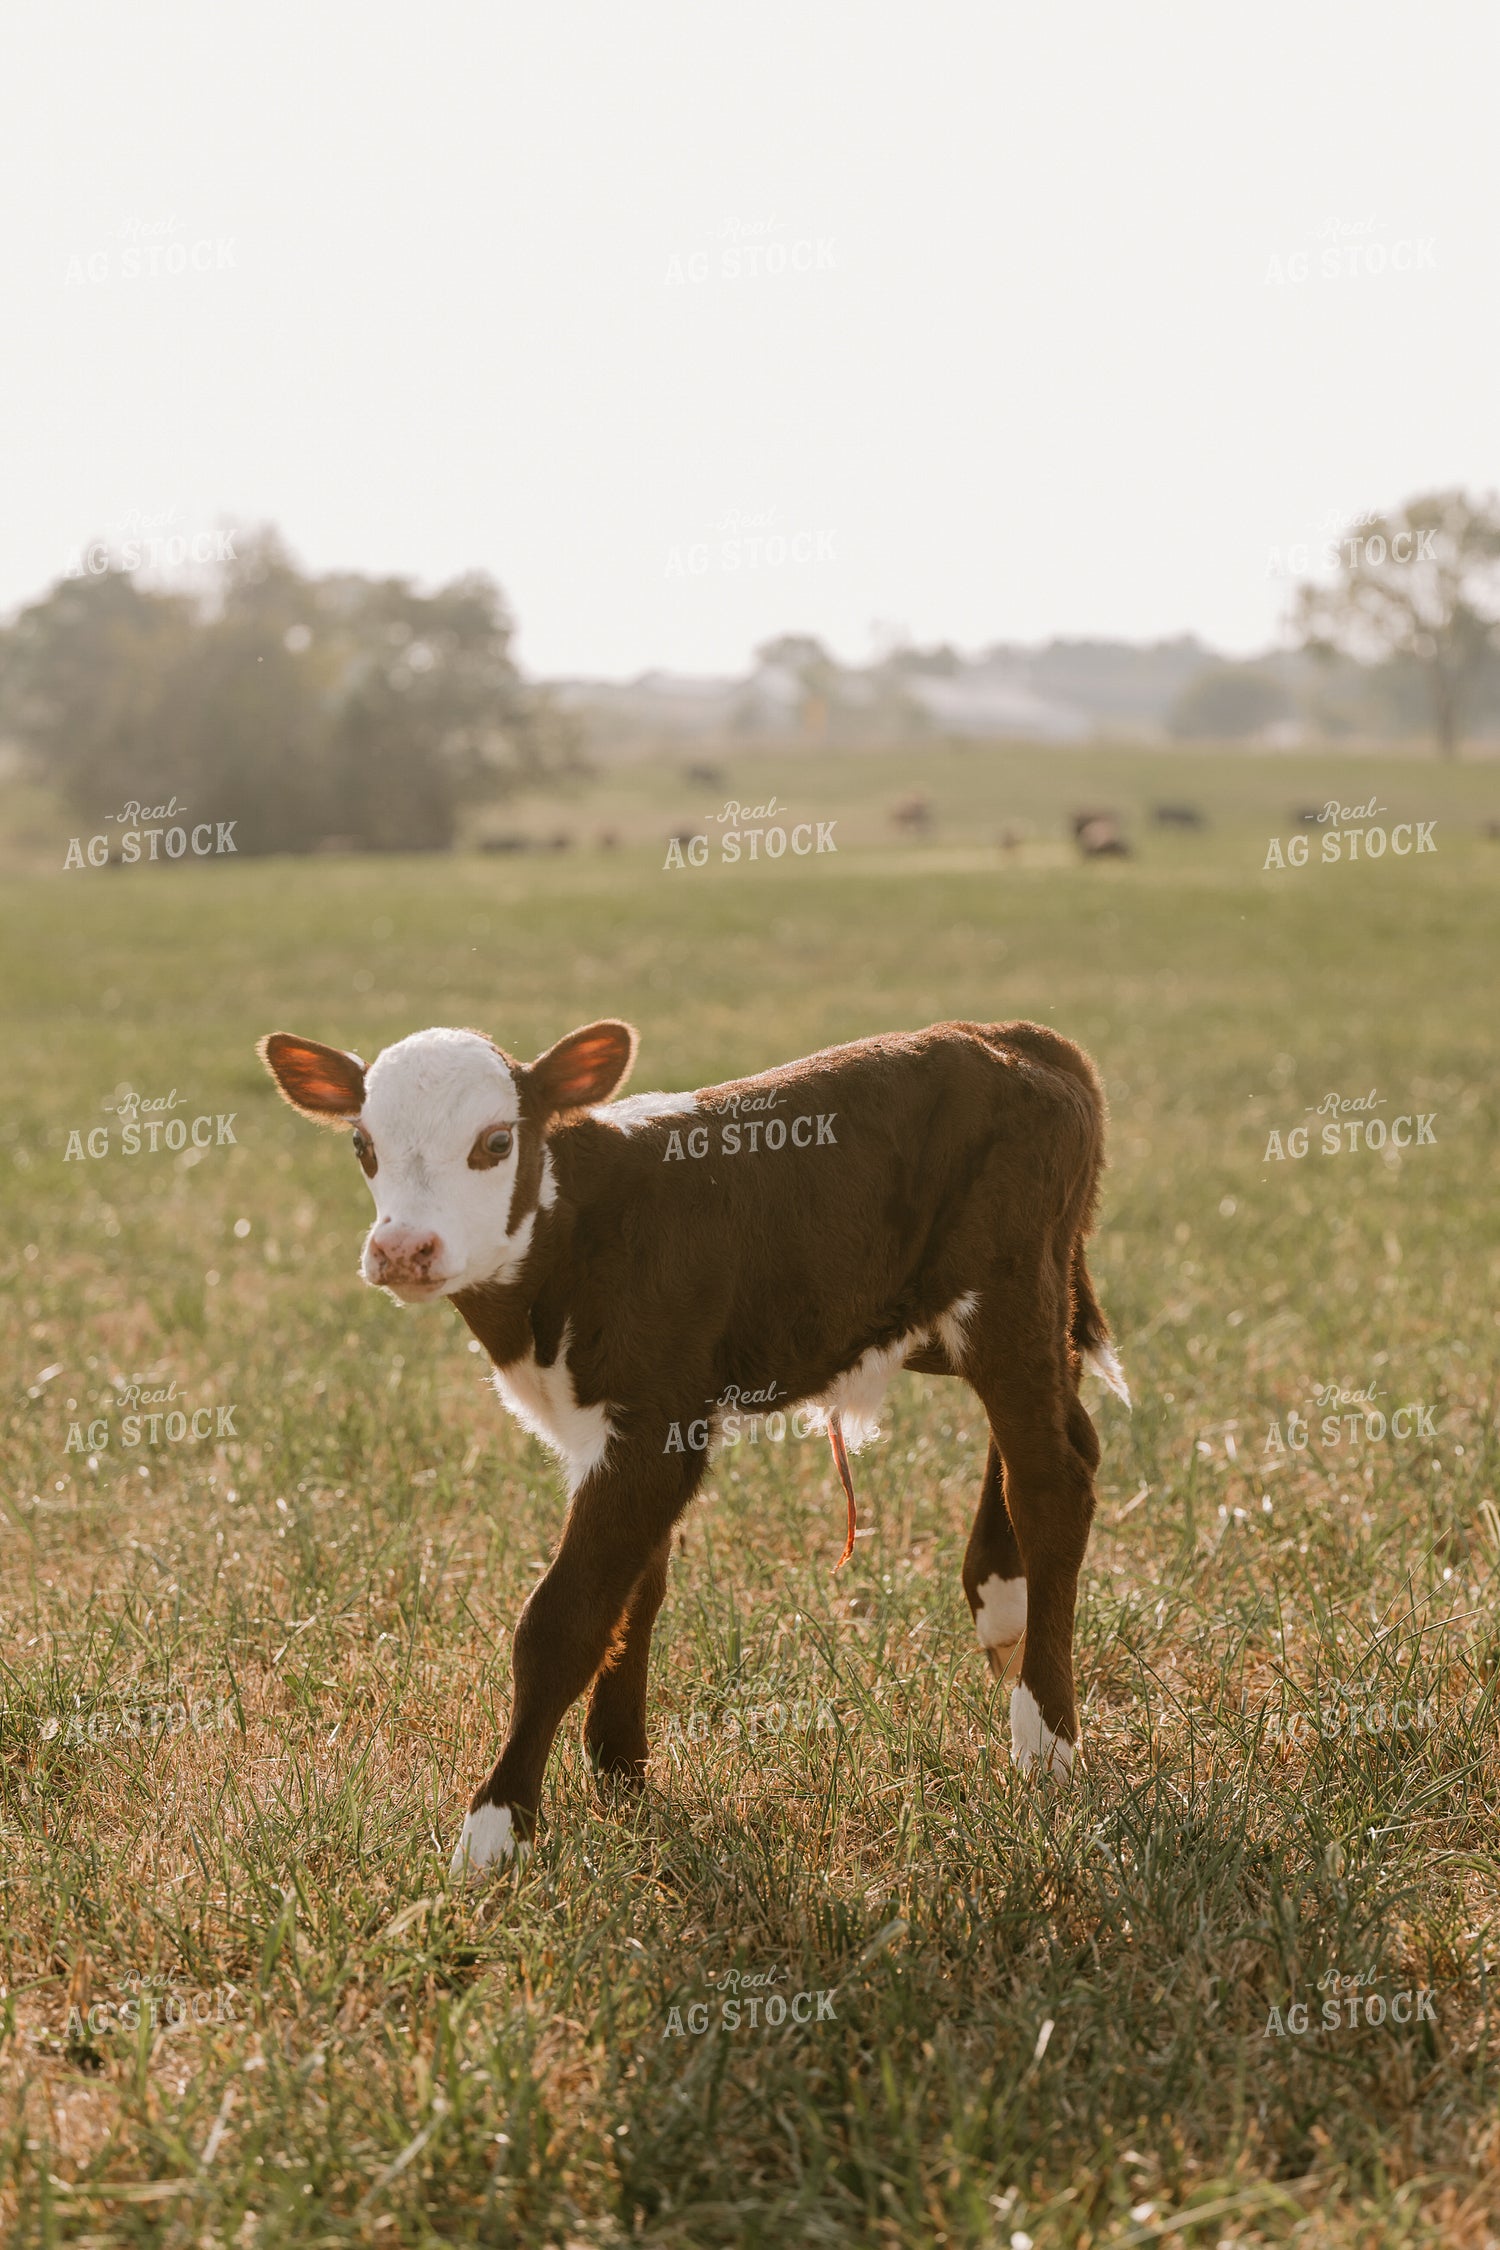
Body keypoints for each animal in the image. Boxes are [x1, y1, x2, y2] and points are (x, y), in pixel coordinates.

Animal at [257, 1016, 1128, 1882]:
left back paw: (1045, 1739)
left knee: (1052, 1478)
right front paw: (619, 1771)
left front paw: (496, 1830)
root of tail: (1010, 1035)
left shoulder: (655, 1430)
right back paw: (1002, 1599)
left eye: (496, 1141)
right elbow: (632, 1592)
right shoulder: (613, 1433)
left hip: (1006, 1292)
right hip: (939, 1316)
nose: (404, 1249)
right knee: (1064, 1427)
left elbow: (562, 1619)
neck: (579, 1233)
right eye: (363, 1144)